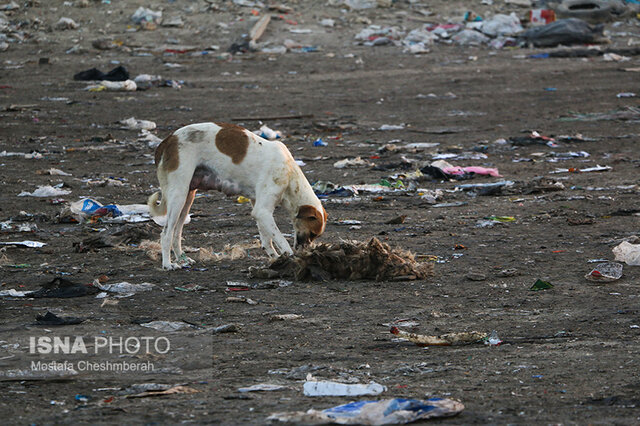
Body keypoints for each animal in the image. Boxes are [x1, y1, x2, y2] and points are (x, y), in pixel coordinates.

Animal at [148, 122, 328, 270]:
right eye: (312, 233)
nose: (306, 252)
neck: (290, 174)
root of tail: (167, 141)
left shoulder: (258, 208)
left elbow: (266, 239)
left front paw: (276, 259)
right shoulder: (262, 211)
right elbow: (281, 240)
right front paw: (290, 258)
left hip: (188, 197)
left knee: (177, 233)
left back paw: (182, 259)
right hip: (178, 195)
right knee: (166, 234)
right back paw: (168, 264)